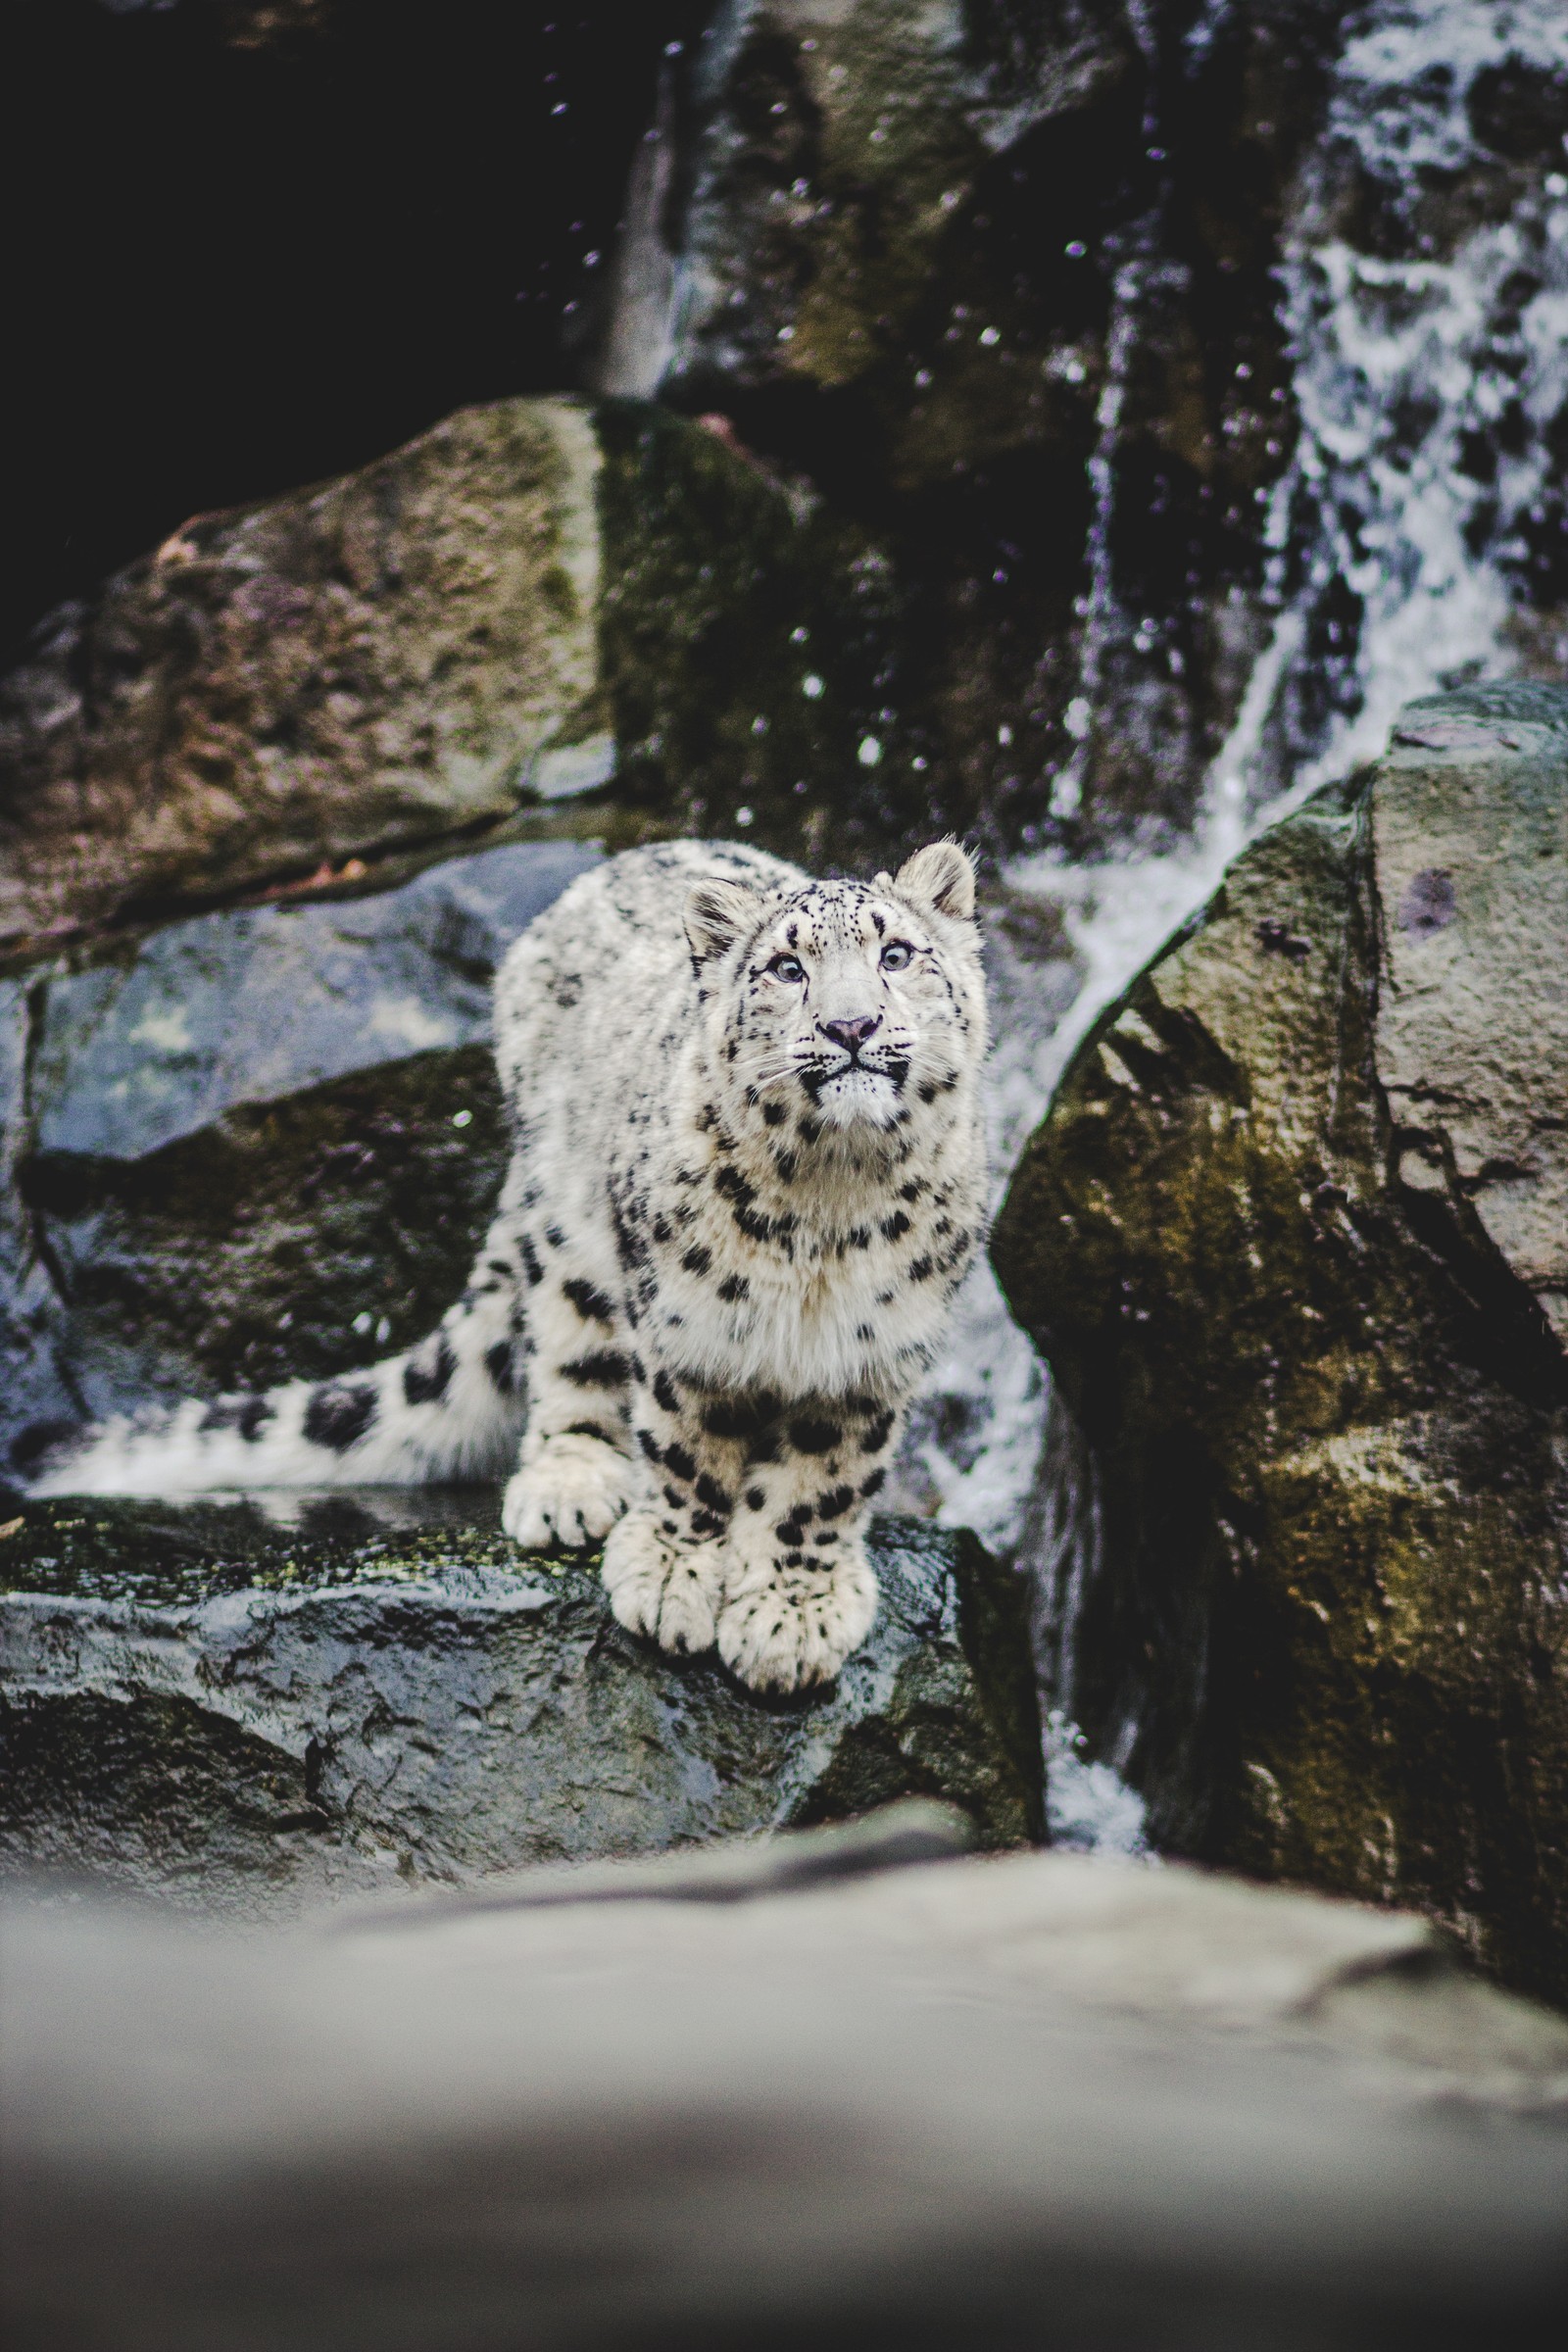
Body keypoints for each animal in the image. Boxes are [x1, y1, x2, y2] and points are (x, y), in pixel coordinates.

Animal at [36, 837, 987, 1684]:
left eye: (898, 954)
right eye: (787, 969)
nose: (851, 1024)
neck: (831, 1207)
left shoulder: (871, 1353)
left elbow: (822, 1485)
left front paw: (793, 1615)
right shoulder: (687, 1324)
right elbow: (686, 1449)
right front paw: (673, 1574)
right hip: (570, 1229)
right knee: (569, 1347)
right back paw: (570, 1485)